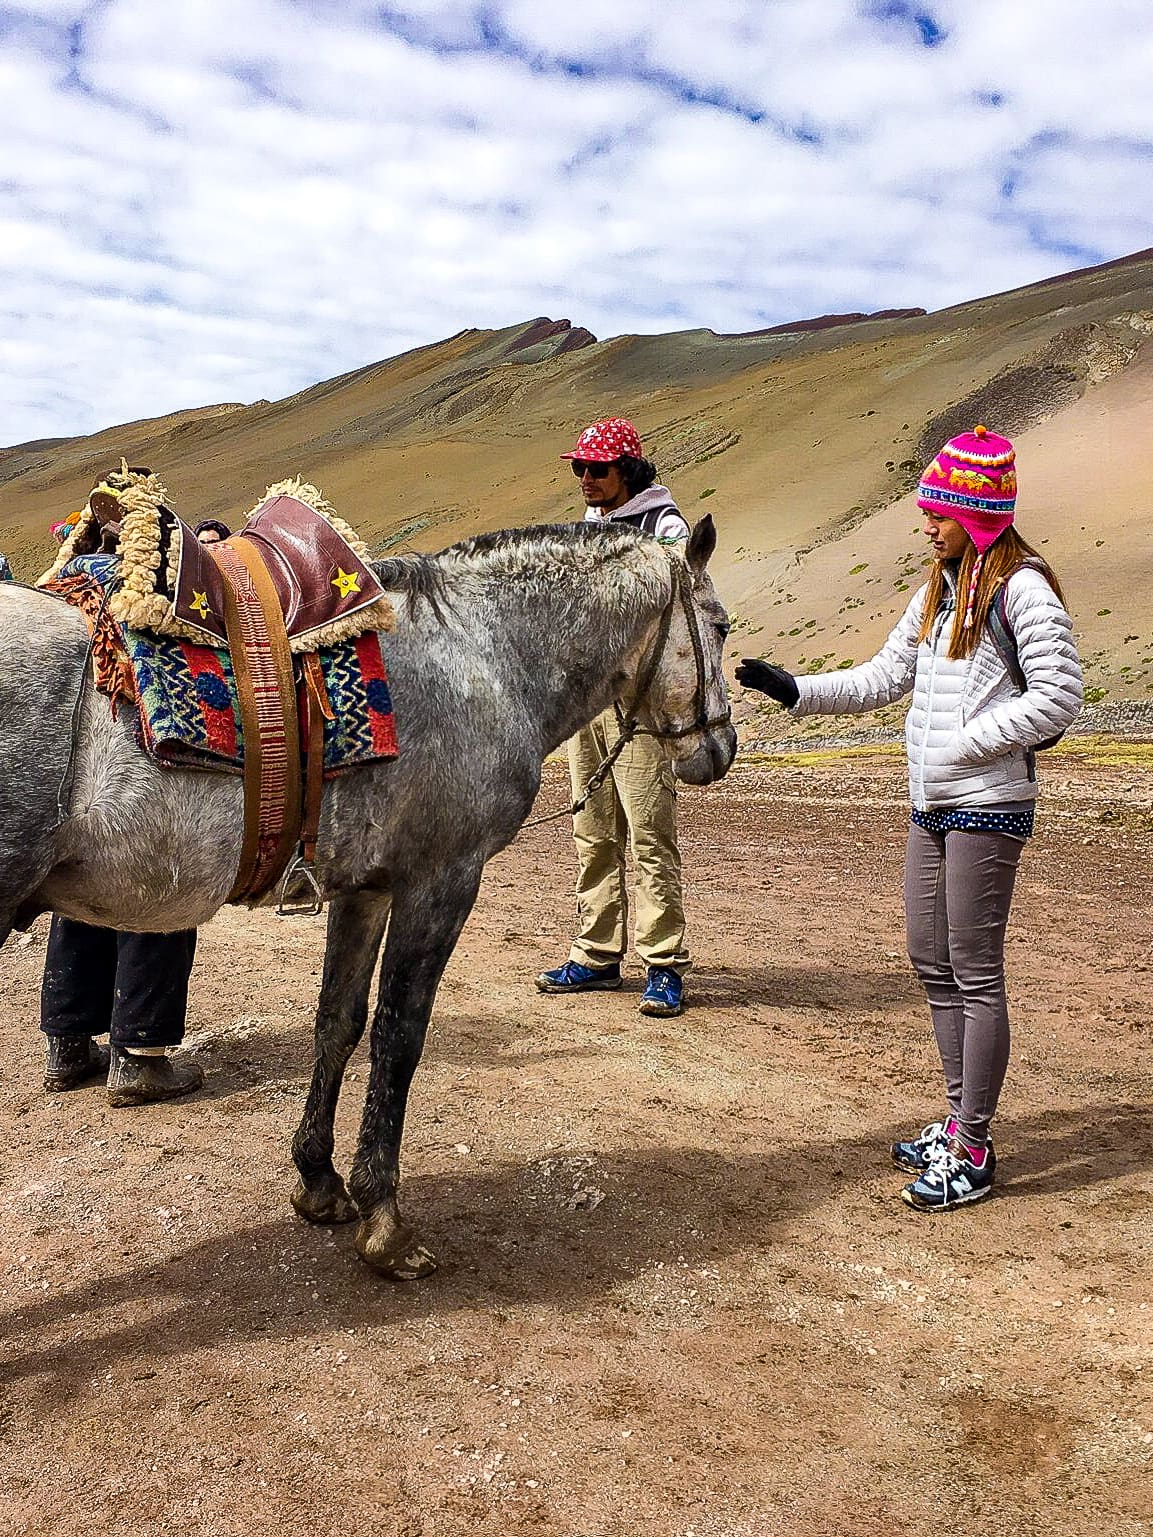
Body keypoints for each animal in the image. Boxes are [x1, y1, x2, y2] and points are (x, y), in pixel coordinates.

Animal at [0, 515, 736, 1278]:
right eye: (719, 626)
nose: (721, 748)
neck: (484, 654)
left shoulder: (364, 891)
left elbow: (339, 1023)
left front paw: (319, 1182)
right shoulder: (440, 882)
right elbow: (398, 1034)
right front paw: (384, 1220)